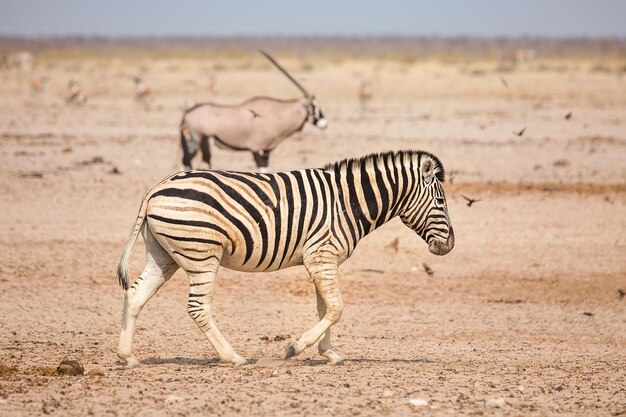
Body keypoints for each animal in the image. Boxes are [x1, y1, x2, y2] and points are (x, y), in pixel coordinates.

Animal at [114, 150, 454, 368]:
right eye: (440, 201)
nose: (449, 245)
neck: (348, 203)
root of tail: (154, 190)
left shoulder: (322, 260)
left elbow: (325, 308)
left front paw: (329, 353)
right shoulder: (322, 256)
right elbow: (336, 308)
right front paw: (294, 348)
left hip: (164, 256)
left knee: (135, 294)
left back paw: (127, 356)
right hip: (202, 254)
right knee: (198, 308)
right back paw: (233, 358)